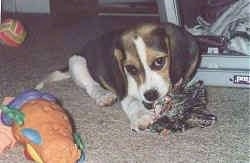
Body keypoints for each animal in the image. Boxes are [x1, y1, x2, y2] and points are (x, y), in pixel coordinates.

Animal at [36, 22, 200, 131]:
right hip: (77, 62)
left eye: (159, 62)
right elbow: (132, 102)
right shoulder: (124, 91)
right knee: (91, 85)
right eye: (131, 69)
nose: (150, 95)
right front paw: (141, 116)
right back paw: (104, 95)